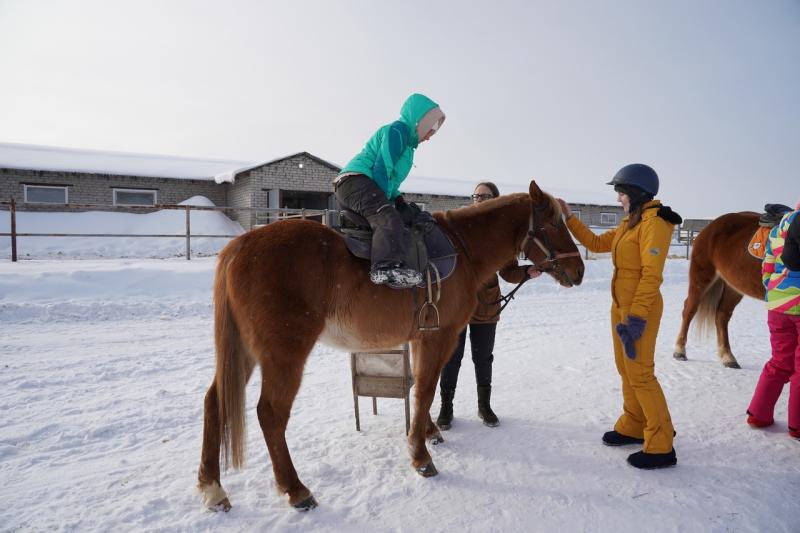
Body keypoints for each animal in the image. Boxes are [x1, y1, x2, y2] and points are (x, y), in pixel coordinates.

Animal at [195, 180, 580, 512]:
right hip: (284, 354)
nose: (579, 271)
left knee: (215, 402)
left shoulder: (423, 338)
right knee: (271, 414)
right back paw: (296, 489)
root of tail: (239, 247)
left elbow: (423, 389)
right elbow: (425, 390)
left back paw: (213, 488)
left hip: (246, 351)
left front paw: (427, 432)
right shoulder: (440, 337)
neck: (463, 248)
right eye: (554, 223)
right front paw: (420, 456)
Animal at [672, 210, 764, 368]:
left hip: (733, 286)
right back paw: (679, 351)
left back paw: (728, 357)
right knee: (689, 309)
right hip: (702, 277)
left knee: (722, 314)